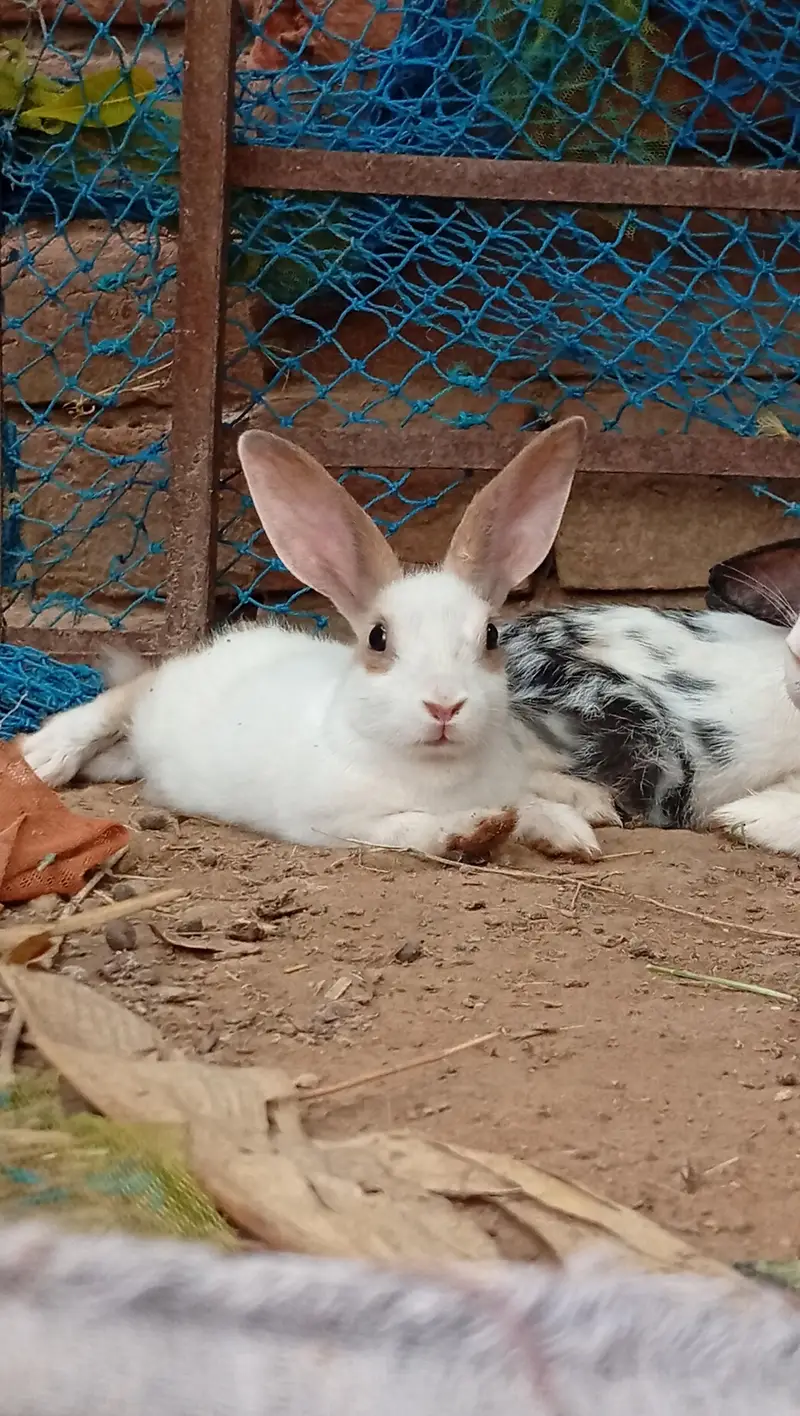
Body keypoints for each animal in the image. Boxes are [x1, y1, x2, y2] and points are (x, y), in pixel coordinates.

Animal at [19, 417, 620, 862]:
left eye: (492, 636)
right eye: (377, 638)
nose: (444, 707)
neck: (436, 770)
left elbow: (527, 802)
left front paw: (570, 832)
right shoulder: (338, 823)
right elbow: (412, 829)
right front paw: (471, 830)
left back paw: (591, 800)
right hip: (154, 698)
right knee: (115, 702)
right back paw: (42, 758)